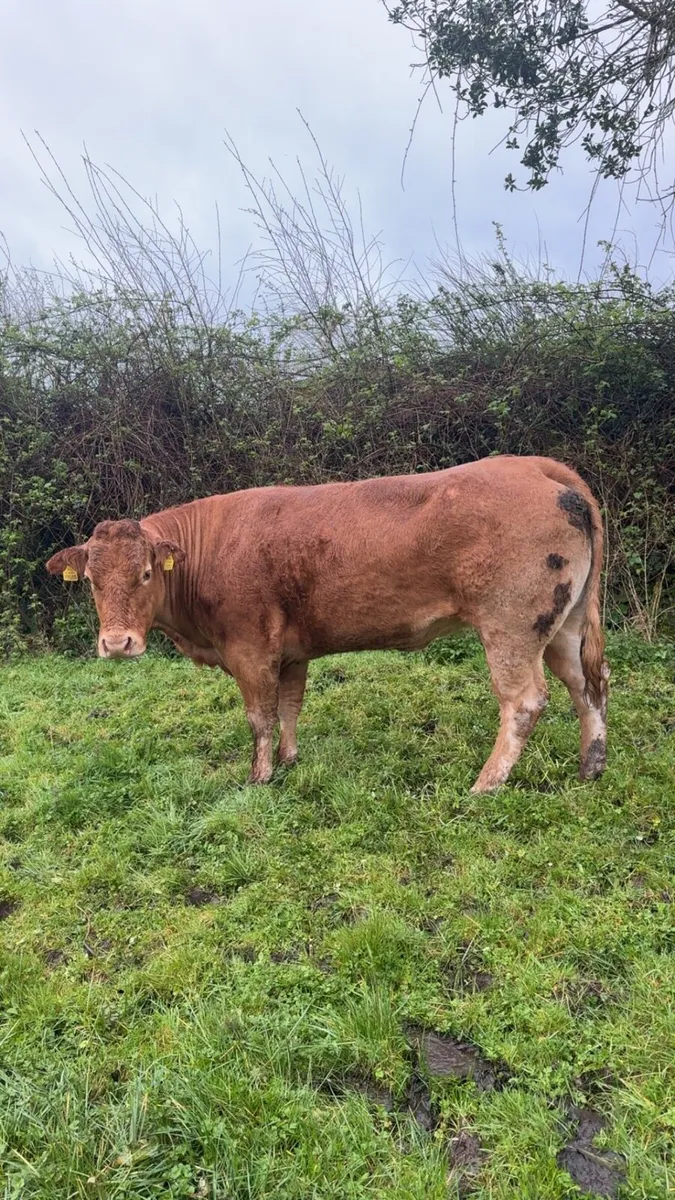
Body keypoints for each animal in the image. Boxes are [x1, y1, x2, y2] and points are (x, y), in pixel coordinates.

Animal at [47, 455, 609, 792]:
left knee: (525, 701)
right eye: (91, 580)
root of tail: (537, 466)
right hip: (563, 622)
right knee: (588, 685)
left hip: (510, 624)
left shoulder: (250, 649)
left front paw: (259, 777)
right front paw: (291, 760)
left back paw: (485, 785)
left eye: (145, 573)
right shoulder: (291, 652)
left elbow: (260, 717)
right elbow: (291, 707)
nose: (117, 643)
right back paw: (591, 766)